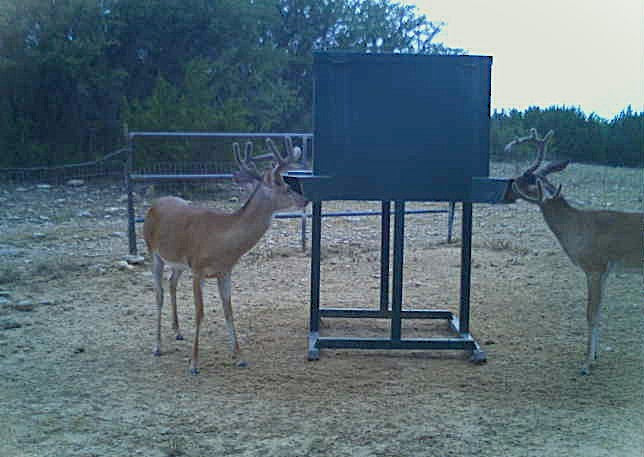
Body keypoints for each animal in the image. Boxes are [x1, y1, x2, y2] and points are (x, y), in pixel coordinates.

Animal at [143, 138, 308, 375]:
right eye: (286, 187)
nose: (305, 200)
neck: (221, 242)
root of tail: (154, 205)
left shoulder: (225, 271)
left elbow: (229, 310)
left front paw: (240, 357)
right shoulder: (198, 269)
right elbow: (200, 312)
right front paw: (194, 364)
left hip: (178, 262)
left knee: (172, 283)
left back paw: (177, 331)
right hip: (153, 252)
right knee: (159, 294)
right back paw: (157, 346)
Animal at [503, 128, 643, 375]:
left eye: (521, 180)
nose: (505, 192)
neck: (576, 226)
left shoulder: (595, 267)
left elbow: (591, 313)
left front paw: (587, 364)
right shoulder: (605, 271)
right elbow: (599, 310)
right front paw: (594, 355)